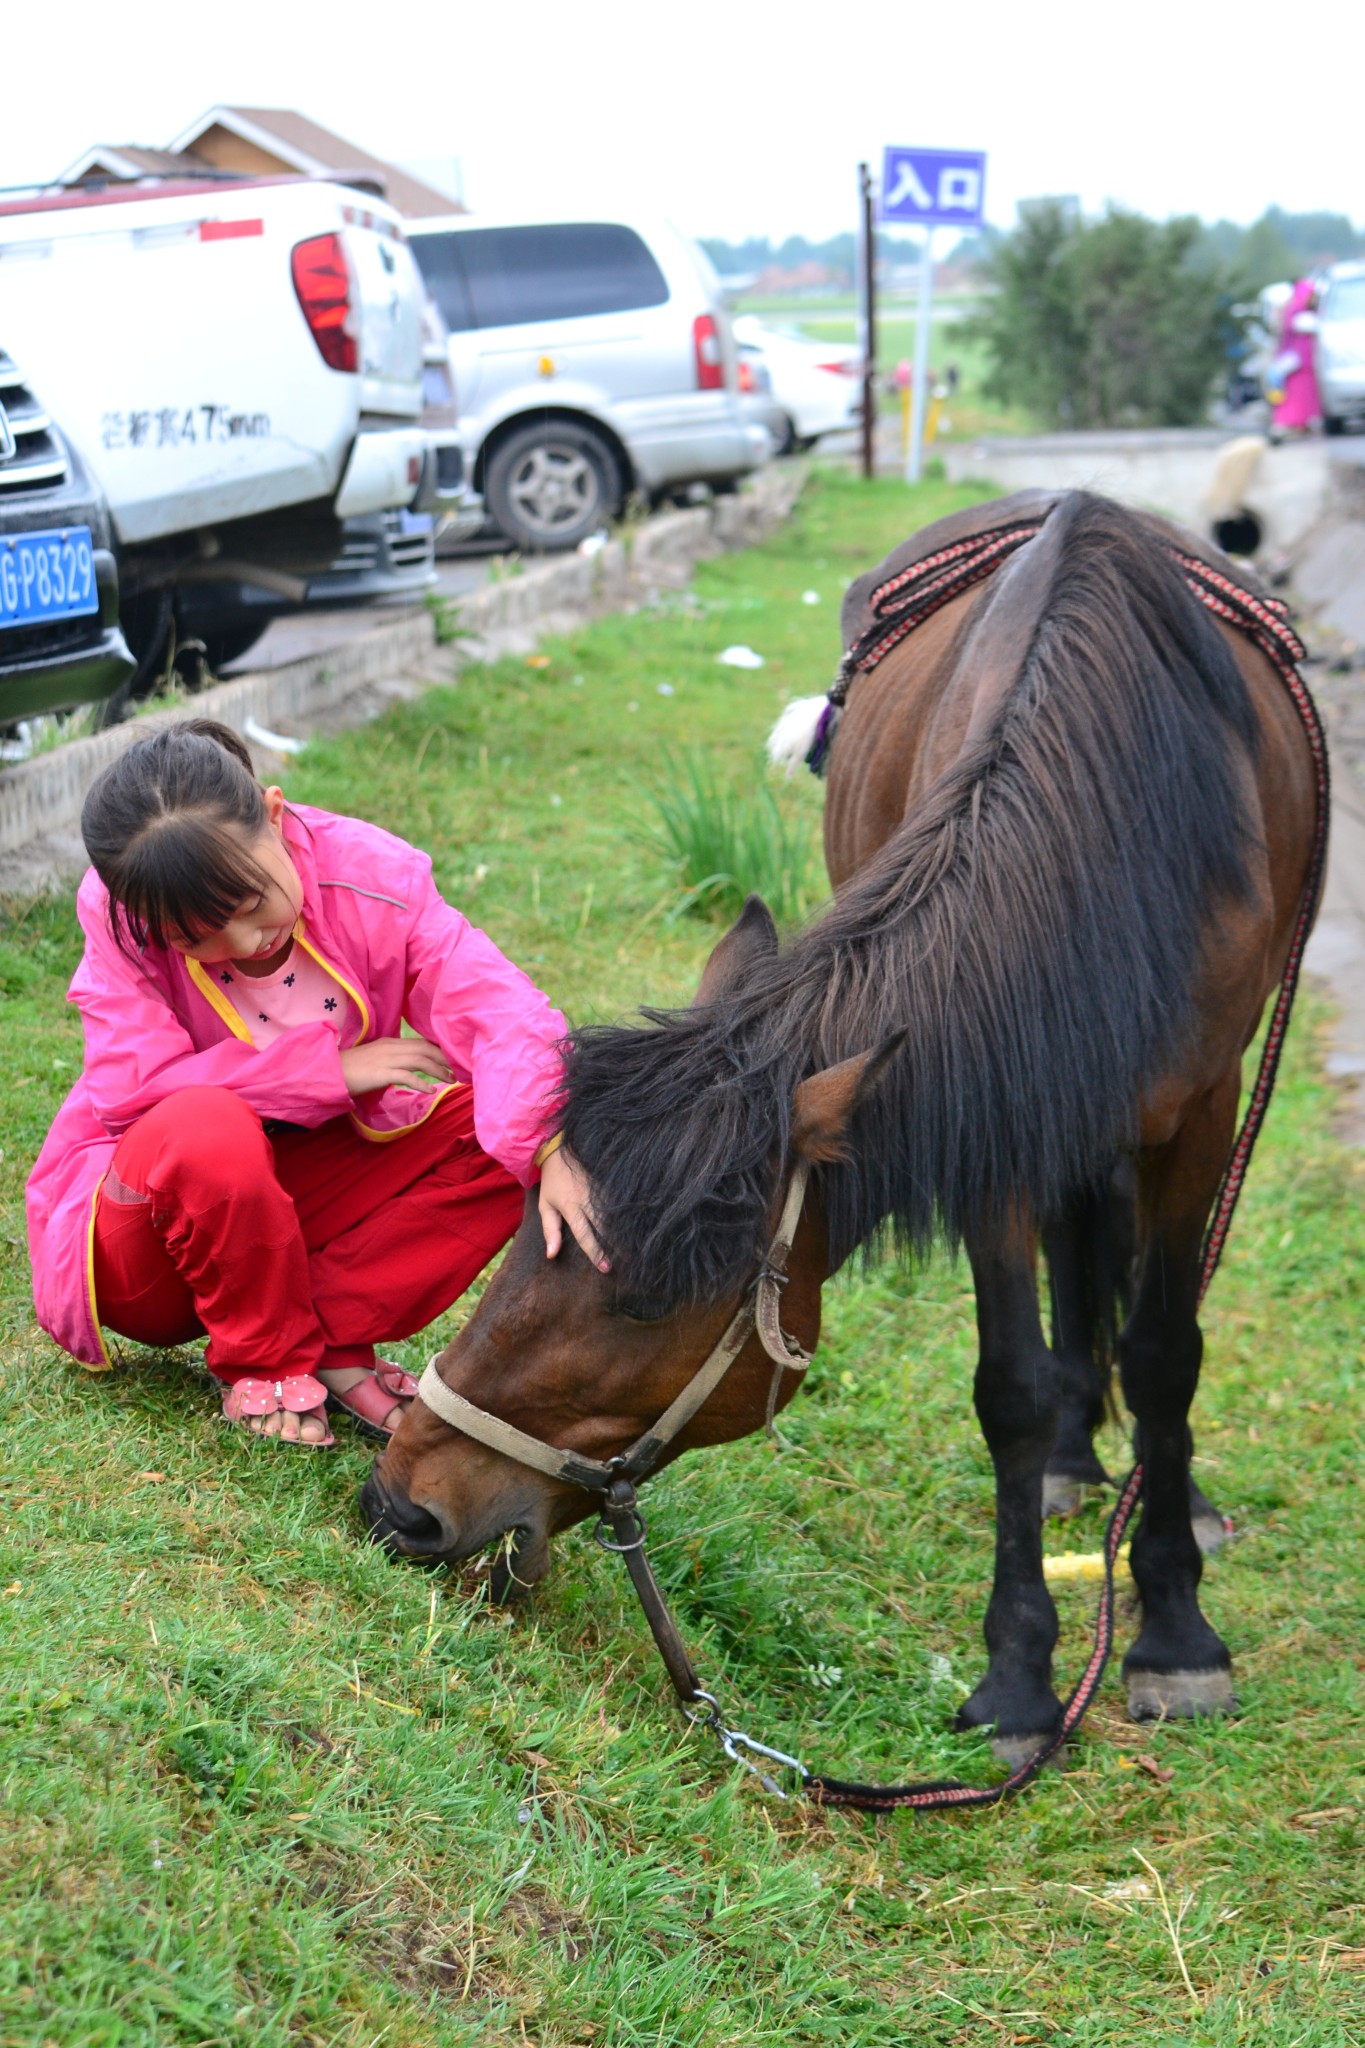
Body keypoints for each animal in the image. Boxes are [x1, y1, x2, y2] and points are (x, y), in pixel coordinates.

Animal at [362, 487, 1326, 1753]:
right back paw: (1076, 1455)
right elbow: (1012, 1386)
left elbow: (1169, 1352)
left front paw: (1172, 1632)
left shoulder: (1205, 1108)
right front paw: (1022, 1669)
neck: (1122, 829)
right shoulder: (992, 1105)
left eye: (643, 1300)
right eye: (528, 1233)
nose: (403, 1501)